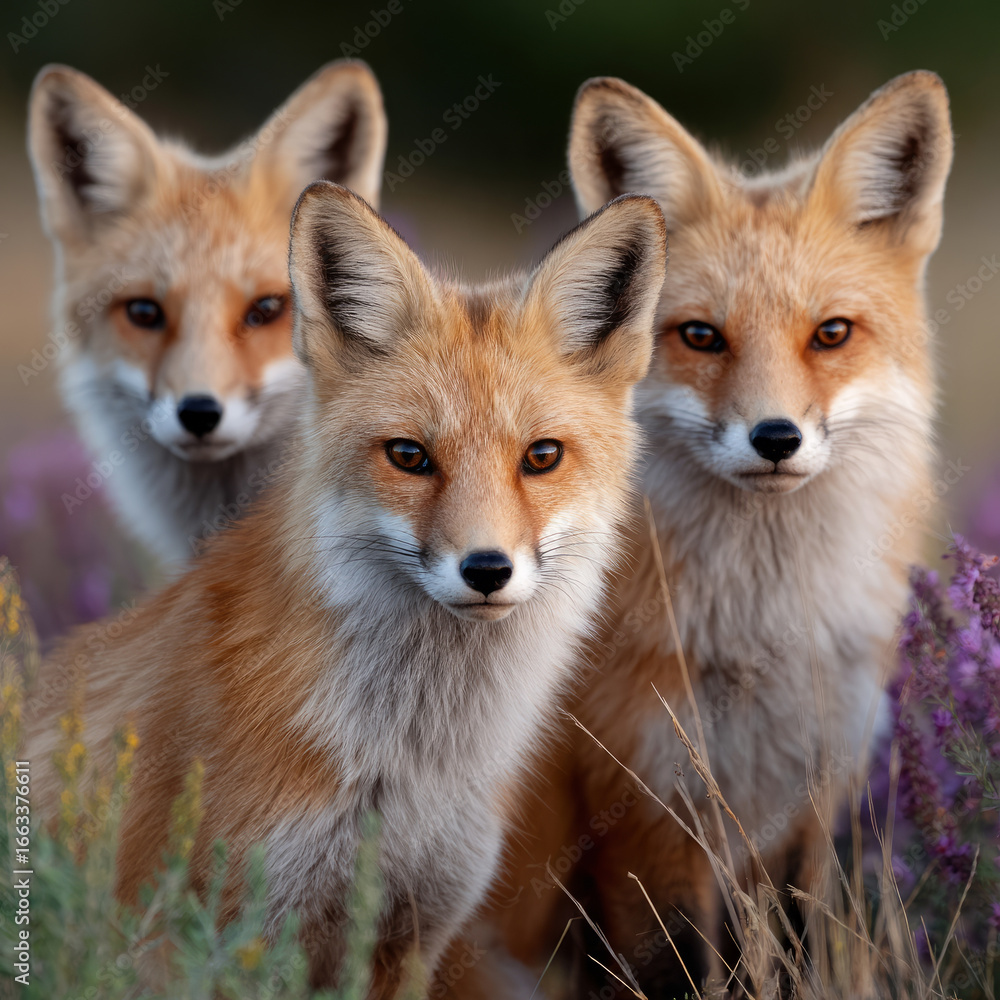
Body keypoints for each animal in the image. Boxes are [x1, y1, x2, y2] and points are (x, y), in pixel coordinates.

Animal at [23, 182, 668, 994]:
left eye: (542, 456)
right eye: (409, 456)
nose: (487, 569)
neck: (406, 765)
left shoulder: (412, 932)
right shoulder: (220, 935)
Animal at [438, 71, 953, 998]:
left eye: (831, 334)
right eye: (702, 337)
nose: (776, 437)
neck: (763, 636)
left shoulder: (809, 800)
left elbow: (795, 946)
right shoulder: (645, 807)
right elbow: (674, 962)